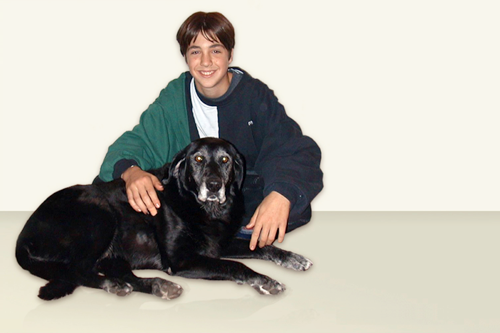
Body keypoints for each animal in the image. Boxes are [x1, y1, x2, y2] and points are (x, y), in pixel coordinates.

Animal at [16, 136, 312, 300]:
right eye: (198, 159)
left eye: (225, 160)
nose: (214, 186)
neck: (205, 209)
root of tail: (23, 235)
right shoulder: (182, 260)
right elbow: (236, 266)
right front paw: (265, 281)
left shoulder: (221, 245)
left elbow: (263, 246)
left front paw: (293, 258)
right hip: (99, 215)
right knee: (78, 271)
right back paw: (115, 285)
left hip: (114, 252)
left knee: (122, 274)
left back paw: (156, 286)